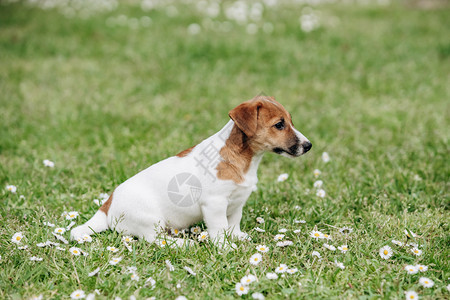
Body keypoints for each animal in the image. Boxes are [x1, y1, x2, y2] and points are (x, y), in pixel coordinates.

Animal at [71, 96, 312, 246]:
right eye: (279, 125)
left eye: (290, 121)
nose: (309, 145)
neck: (244, 159)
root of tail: (107, 205)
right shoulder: (214, 205)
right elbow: (219, 230)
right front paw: (226, 248)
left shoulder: (237, 204)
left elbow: (233, 224)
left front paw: (238, 238)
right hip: (150, 220)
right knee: (154, 240)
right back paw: (182, 244)